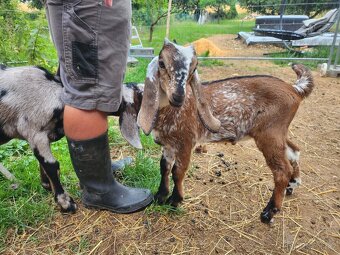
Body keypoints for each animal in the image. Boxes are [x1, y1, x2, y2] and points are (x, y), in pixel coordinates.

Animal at [0, 64, 143, 212]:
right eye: (140, 93)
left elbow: (42, 163)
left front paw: (46, 184)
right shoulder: (34, 132)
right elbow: (52, 165)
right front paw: (65, 202)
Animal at [137, 39, 314, 223]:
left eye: (194, 67)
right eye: (161, 63)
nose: (178, 97)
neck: (169, 112)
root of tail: (295, 89)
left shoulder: (186, 141)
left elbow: (178, 171)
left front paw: (174, 201)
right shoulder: (168, 144)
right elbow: (164, 167)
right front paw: (160, 197)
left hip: (270, 133)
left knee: (282, 170)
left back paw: (269, 212)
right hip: (277, 131)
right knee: (294, 150)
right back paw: (292, 186)